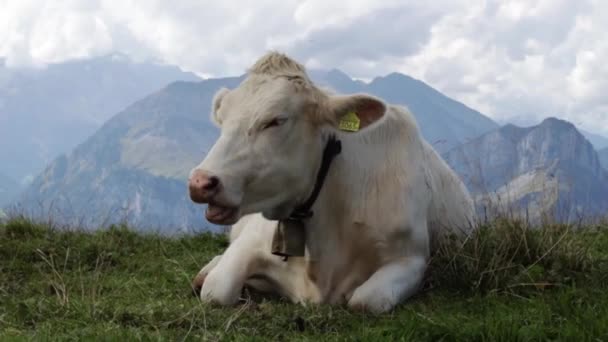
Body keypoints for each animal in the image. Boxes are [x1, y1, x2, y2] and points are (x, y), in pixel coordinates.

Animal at [189, 52, 476, 314]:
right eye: (223, 119)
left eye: (276, 120)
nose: (200, 182)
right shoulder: (251, 241)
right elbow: (216, 289)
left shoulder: (412, 259)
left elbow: (366, 301)